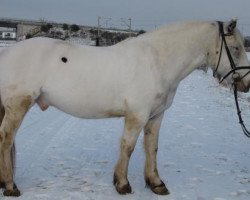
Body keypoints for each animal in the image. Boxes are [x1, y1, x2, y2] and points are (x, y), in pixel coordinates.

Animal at [0, 19, 250, 197]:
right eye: (236, 48)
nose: (246, 85)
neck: (156, 61)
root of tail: (7, 53)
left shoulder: (156, 116)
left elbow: (151, 147)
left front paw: (156, 183)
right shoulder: (137, 116)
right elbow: (128, 147)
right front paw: (122, 184)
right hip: (18, 105)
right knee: (6, 139)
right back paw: (10, 186)